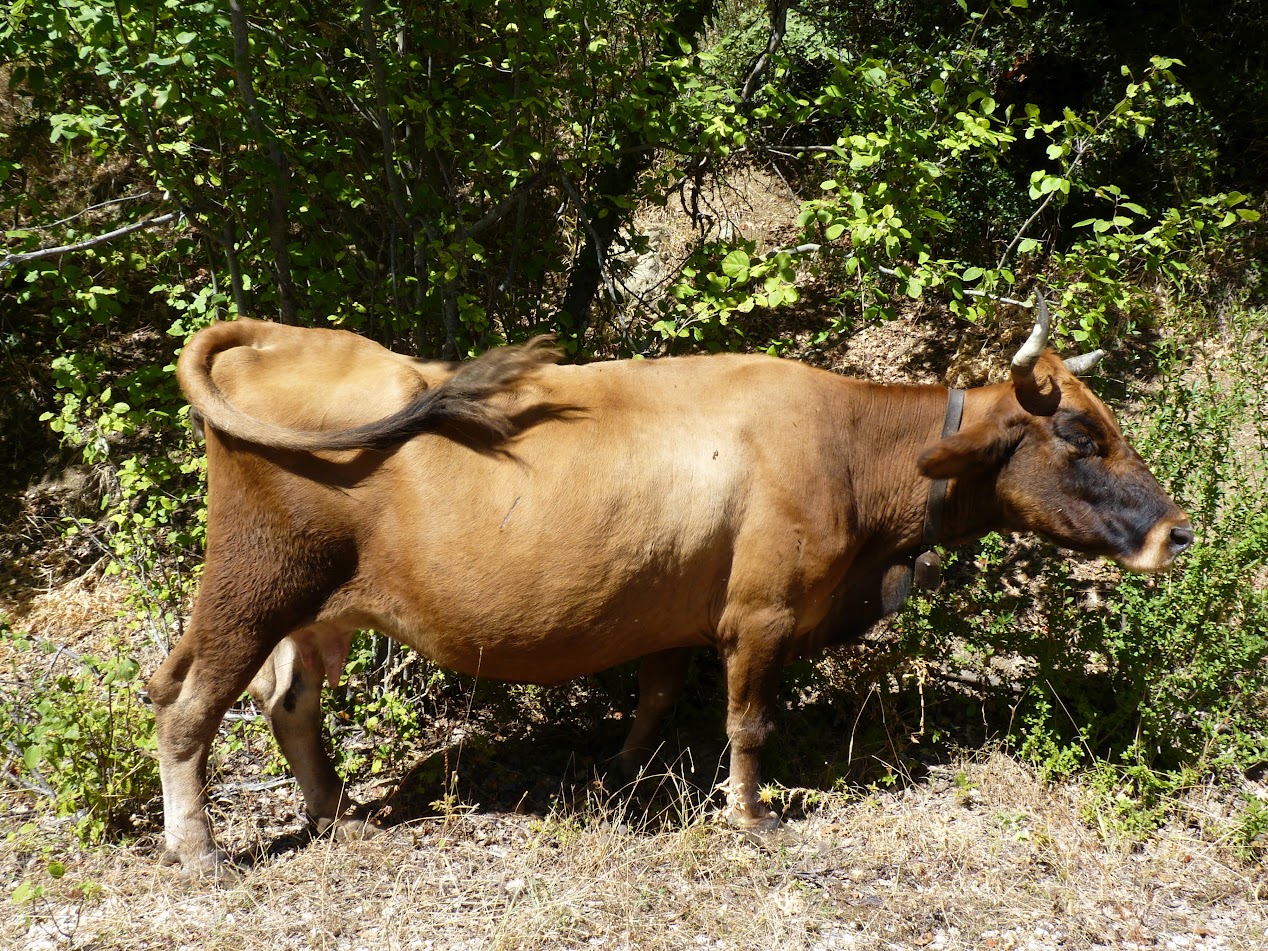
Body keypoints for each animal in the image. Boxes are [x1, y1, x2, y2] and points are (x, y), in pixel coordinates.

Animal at [148, 301, 1186, 877]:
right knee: (187, 706)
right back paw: (199, 848)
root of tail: (278, 339)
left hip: (313, 608)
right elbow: (748, 723)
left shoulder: (680, 620)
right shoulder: (763, 614)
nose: (1176, 529)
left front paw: (621, 772)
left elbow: (654, 698)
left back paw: (334, 813)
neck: (845, 445)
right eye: (1082, 436)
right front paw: (750, 816)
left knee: (289, 702)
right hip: (250, 588)